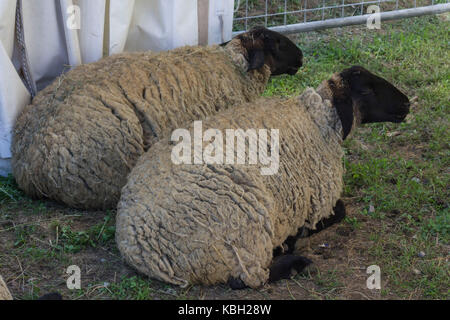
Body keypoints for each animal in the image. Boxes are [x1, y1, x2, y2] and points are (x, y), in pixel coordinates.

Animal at [114, 65, 410, 288]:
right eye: (367, 89)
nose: (407, 103)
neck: (317, 120)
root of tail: (140, 246)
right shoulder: (317, 200)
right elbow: (340, 211)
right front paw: (301, 234)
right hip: (241, 227)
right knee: (248, 279)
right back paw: (292, 259)